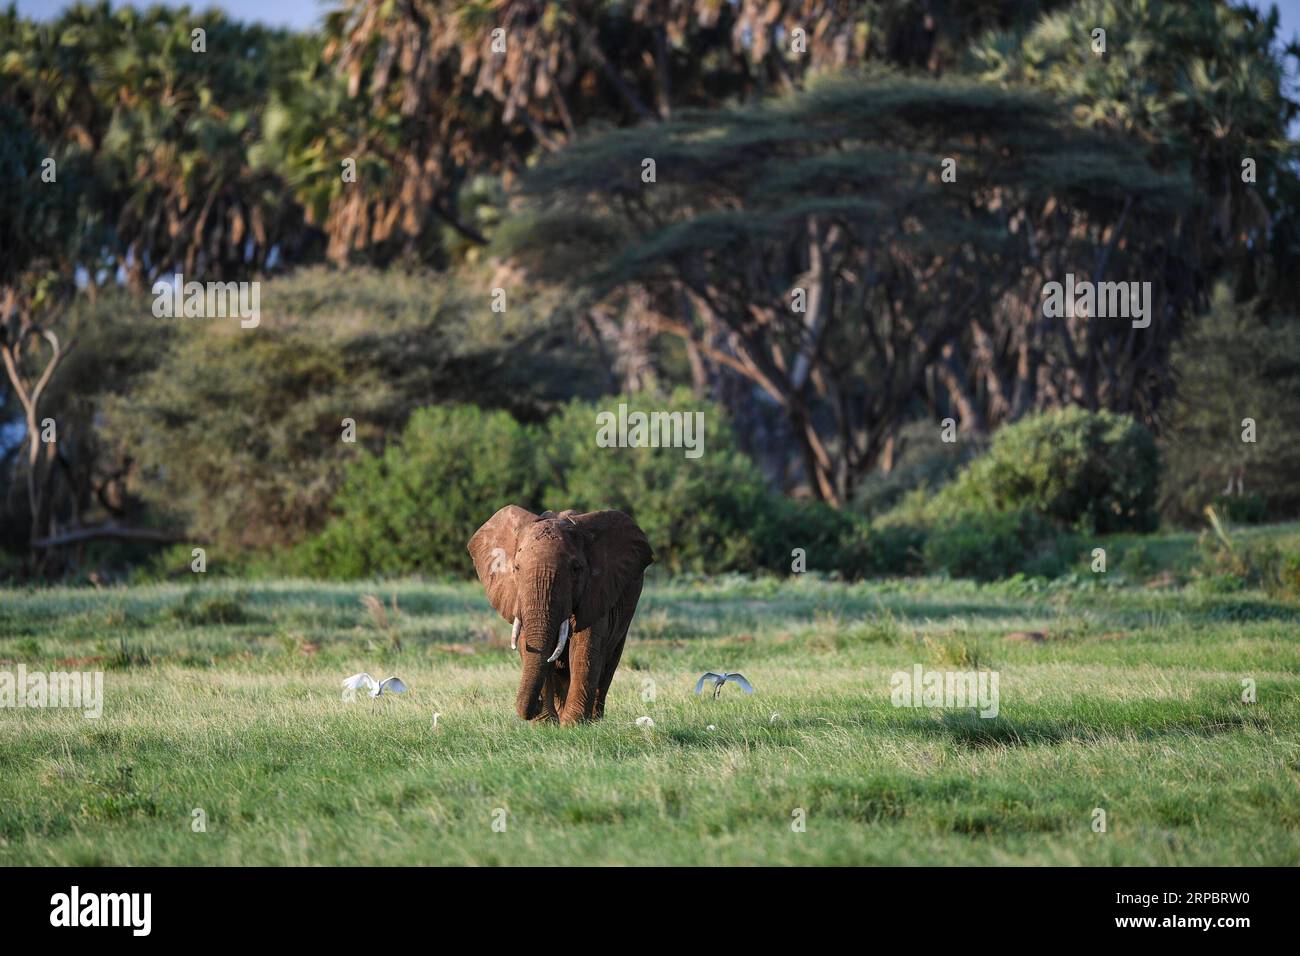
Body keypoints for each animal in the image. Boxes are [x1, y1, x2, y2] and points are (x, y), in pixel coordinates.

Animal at [467, 509, 655, 723]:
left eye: (575, 569)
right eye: (516, 568)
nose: (536, 704)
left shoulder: (598, 591)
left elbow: (584, 646)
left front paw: (573, 724)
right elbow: (528, 644)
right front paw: (546, 725)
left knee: (608, 663)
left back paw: (594, 720)